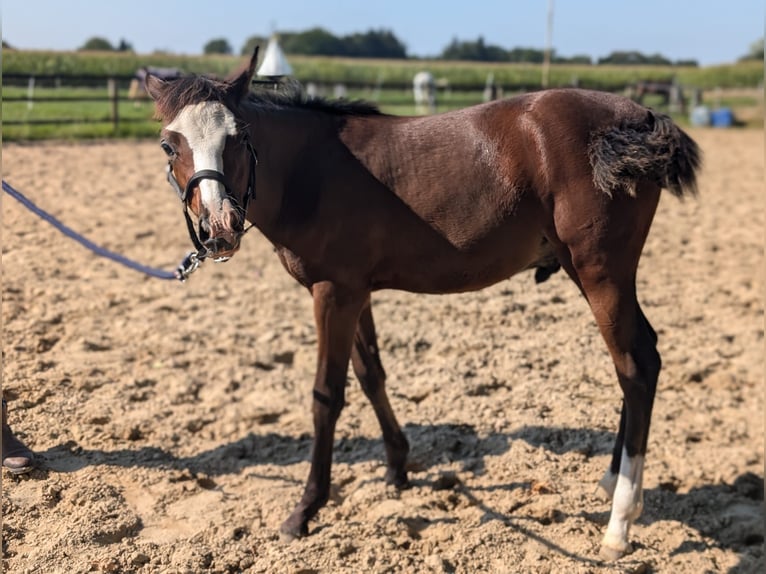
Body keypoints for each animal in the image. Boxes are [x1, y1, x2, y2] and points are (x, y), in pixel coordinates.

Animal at [144, 49, 704, 564]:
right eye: (170, 144)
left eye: (239, 137)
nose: (219, 229)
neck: (312, 171)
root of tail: (640, 117)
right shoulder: (355, 291)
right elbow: (371, 375)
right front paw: (397, 469)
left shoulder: (333, 292)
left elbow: (327, 397)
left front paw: (305, 510)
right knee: (641, 359)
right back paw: (612, 483)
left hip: (600, 271)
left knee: (635, 366)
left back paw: (619, 523)